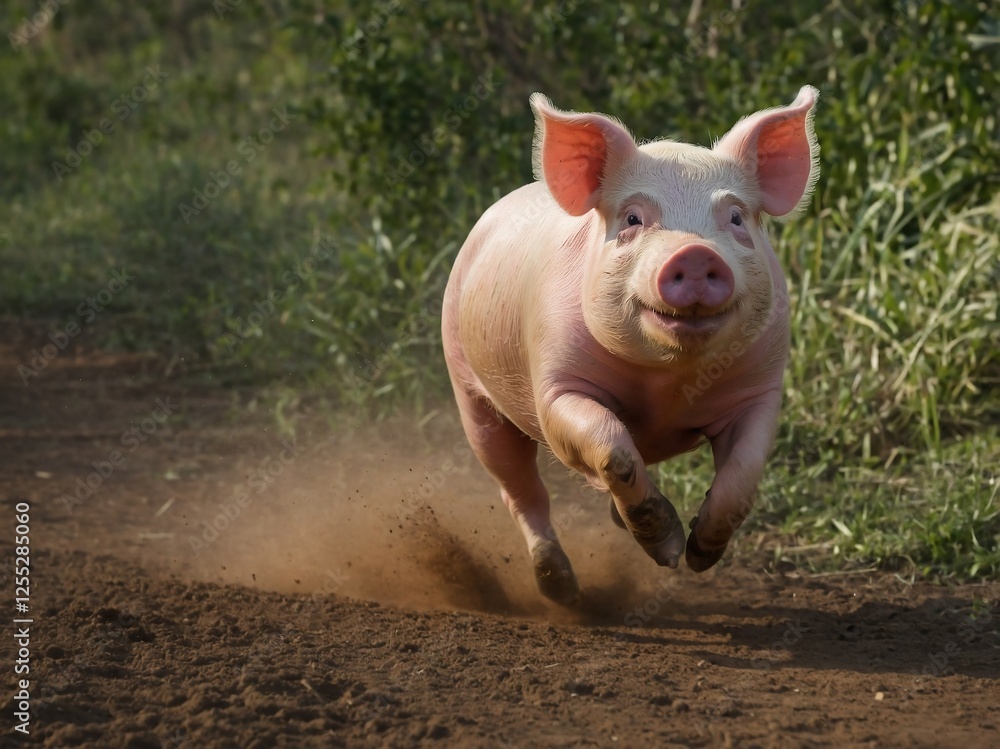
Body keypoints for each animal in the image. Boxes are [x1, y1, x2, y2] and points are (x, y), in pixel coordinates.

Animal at [442, 87, 819, 605]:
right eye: (634, 218)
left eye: (736, 217)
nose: (694, 253)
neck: (665, 385)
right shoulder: (556, 384)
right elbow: (610, 446)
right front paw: (667, 550)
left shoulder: (760, 389)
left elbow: (742, 476)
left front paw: (698, 556)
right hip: (467, 385)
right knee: (520, 490)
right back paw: (561, 590)